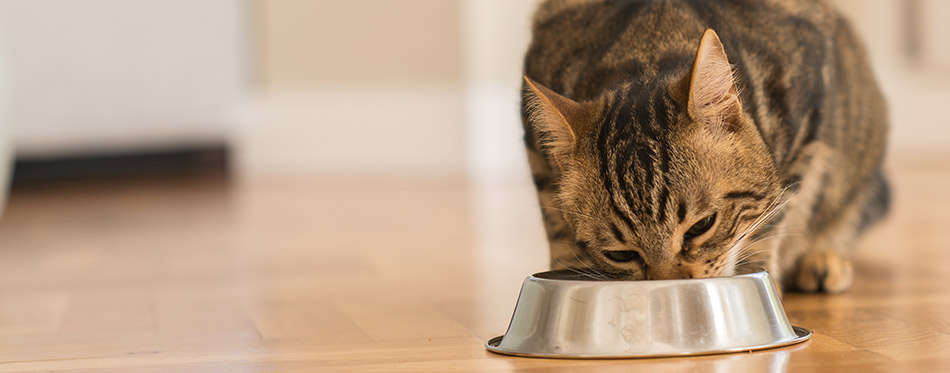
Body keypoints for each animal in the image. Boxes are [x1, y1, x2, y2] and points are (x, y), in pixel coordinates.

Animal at [524, 0, 888, 290]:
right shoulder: (537, 155)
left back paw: (823, 259)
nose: (669, 284)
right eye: (621, 254)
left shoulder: (810, 116)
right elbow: (557, 230)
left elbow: (771, 222)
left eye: (702, 226)